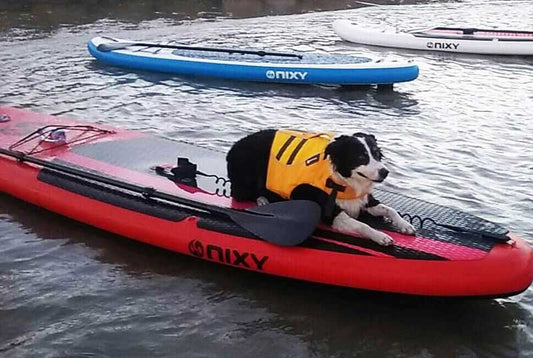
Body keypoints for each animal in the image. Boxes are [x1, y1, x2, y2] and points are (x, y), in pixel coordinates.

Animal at [224, 129, 416, 246]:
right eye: (361, 157)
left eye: (376, 154)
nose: (385, 172)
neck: (341, 179)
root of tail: (234, 145)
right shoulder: (331, 213)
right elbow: (362, 225)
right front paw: (380, 235)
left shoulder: (364, 200)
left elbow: (390, 209)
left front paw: (405, 225)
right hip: (247, 179)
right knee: (244, 192)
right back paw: (263, 200)